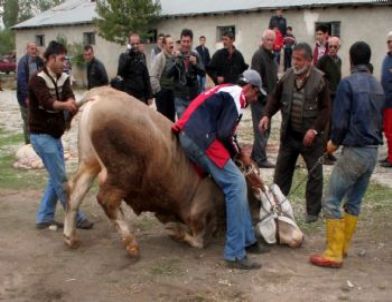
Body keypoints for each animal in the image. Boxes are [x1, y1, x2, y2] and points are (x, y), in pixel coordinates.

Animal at [63, 86, 260, 256]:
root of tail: (102, 93)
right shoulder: (200, 213)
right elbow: (197, 240)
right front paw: (177, 232)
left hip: (90, 161)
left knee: (75, 191)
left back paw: (71, 237)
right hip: (123, 172)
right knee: (107, 199)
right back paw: (131, 243)